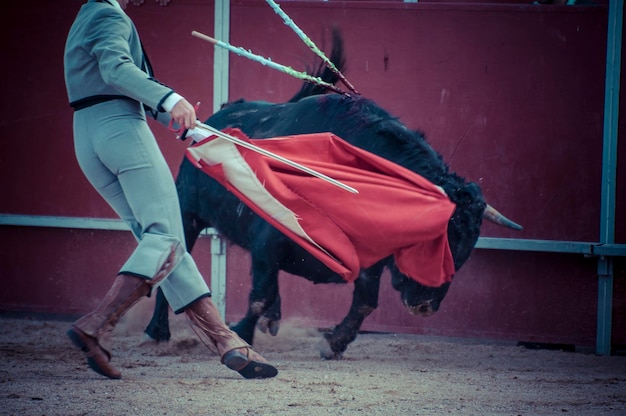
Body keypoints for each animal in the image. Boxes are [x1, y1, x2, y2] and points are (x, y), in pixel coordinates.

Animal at [144, 61, 520, 360]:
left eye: (467, 248)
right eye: (433, 237)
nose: (425, 306)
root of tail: (212, 117)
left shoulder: (369, 260)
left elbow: (364, 302)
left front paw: (333, 343)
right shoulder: (269, 239)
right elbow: (259, 296)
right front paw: (241, 338)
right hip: (187, 211)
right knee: (175, 264)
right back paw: (158, 331)